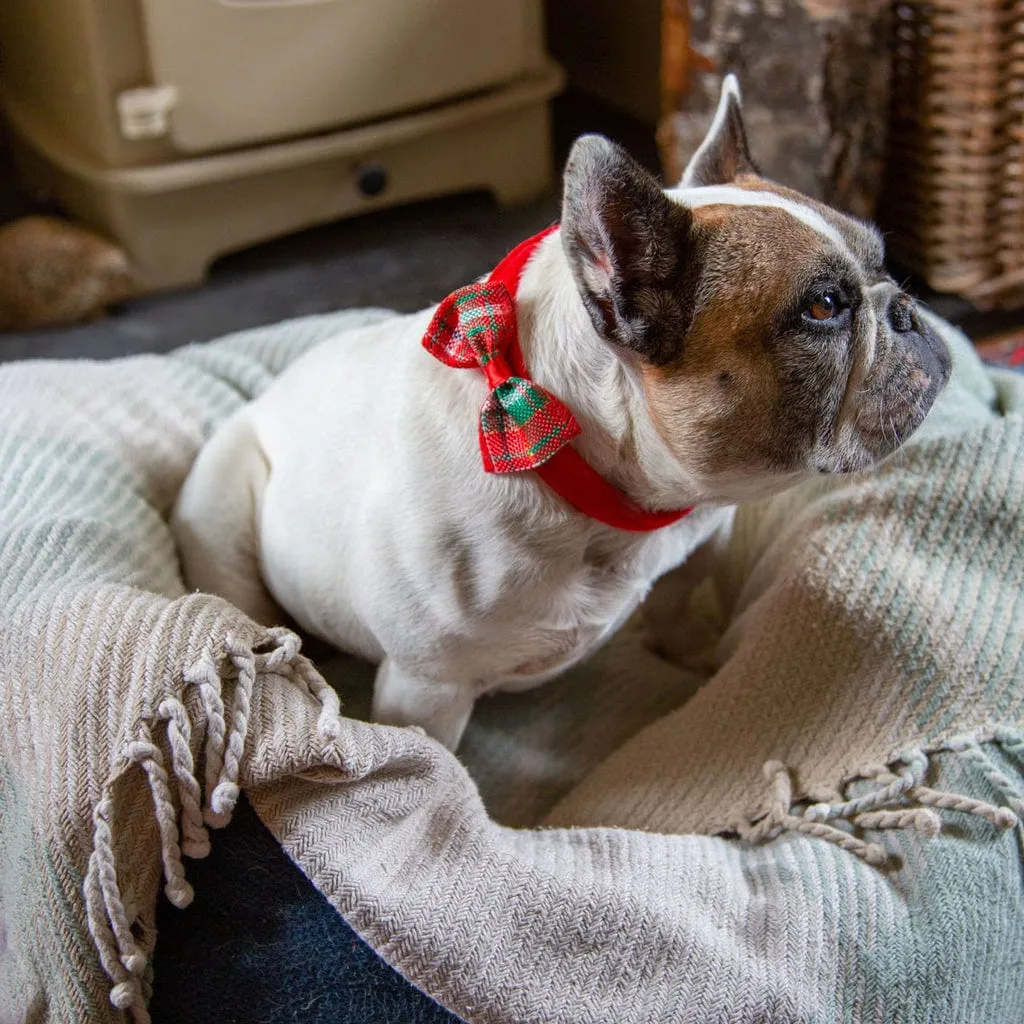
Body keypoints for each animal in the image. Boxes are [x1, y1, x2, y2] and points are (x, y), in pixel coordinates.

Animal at [176, 75, 950, 749]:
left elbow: (683, 609)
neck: (599, 475)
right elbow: (442, 776)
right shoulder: (426, 691)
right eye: (824, 309)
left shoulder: (697, 550)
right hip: (222, 516)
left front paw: (698, 660)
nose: (906, 309)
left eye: (882, 262)